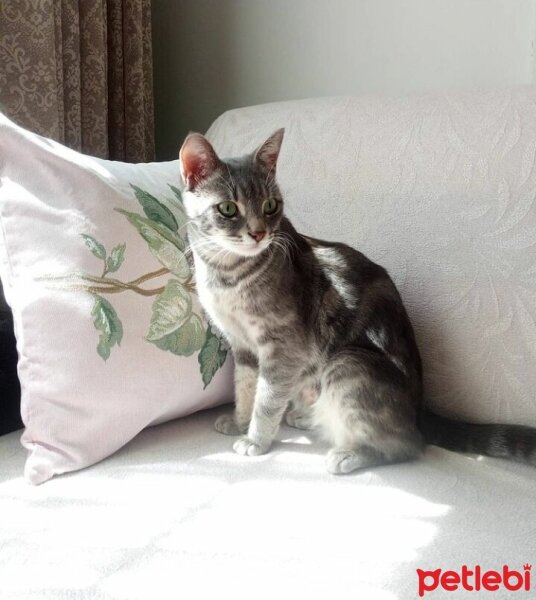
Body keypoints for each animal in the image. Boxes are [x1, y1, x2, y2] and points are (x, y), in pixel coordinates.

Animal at [179, 130, 536, 474]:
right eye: (228, 208)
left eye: (270, 205)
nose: (258, 234)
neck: (227, 274)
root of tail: (420, 409)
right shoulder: (241, 346)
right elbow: (245, 387)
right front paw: (240, 421)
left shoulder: (283, 347)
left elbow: (266, 400)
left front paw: (255, 439)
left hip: (347, 365)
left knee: (407, 444)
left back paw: (348, 455)